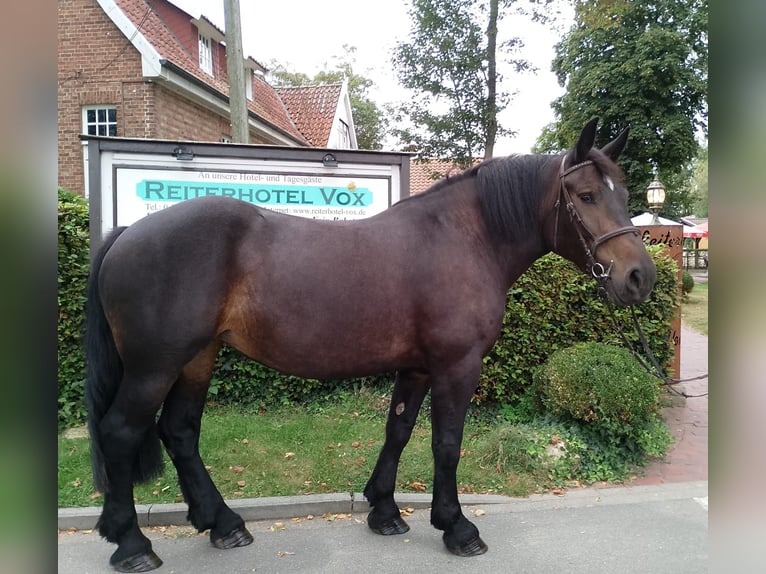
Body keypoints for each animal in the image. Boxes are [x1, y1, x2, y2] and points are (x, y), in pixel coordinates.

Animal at [85, 119, 660, 572]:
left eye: (626, 195)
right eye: (586, 196)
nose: (639, 278)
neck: (463, 239)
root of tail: (128, 232)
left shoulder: (418, 367)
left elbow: (399, 430)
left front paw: (384, 511)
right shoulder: (457, 366)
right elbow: (446, 443)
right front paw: (457, 527)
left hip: (196, 359)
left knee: (180, 432)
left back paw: (222, 524)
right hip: (154, 366)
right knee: (120, 432)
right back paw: (132, 543)